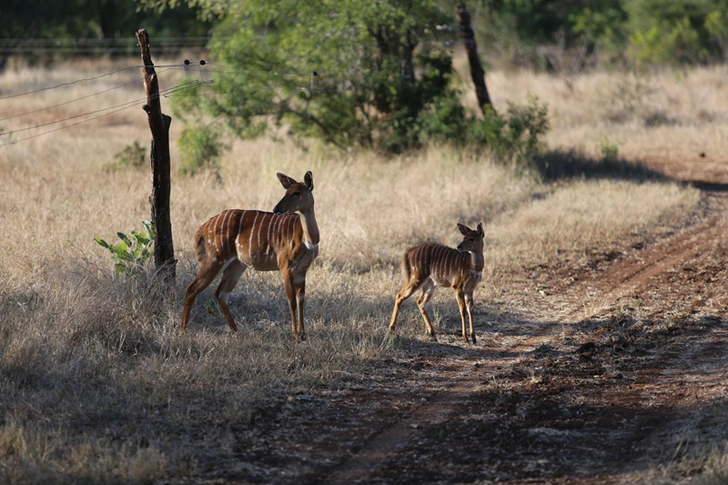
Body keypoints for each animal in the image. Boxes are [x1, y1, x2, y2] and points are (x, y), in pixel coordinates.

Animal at [180, 171, 318, 340]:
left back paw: (237, 331)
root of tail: (201, 229)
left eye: (296, 192)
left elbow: (301, 300)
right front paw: (296, 335)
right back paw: (182, 331)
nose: (276, 209)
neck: (308, 240)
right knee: (192, 289)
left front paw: (303, 334)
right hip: (214, 260)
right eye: (286, 192)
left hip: (237, 265)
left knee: (221, 293)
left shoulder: (302, 271)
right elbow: (291, 300)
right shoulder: (285, 266)